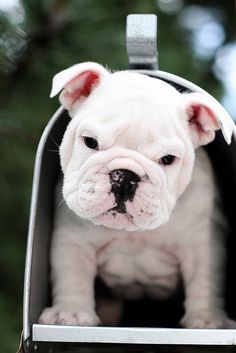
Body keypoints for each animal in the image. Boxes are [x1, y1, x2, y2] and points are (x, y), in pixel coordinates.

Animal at [39, 62, 236, 328]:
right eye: (90, 141)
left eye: (168, 159)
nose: (124, 176)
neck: (133, 233)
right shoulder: (72, 240)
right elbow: (72, 274)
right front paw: (70, 312)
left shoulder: (203, 242)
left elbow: (204, 279)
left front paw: (207, 319)